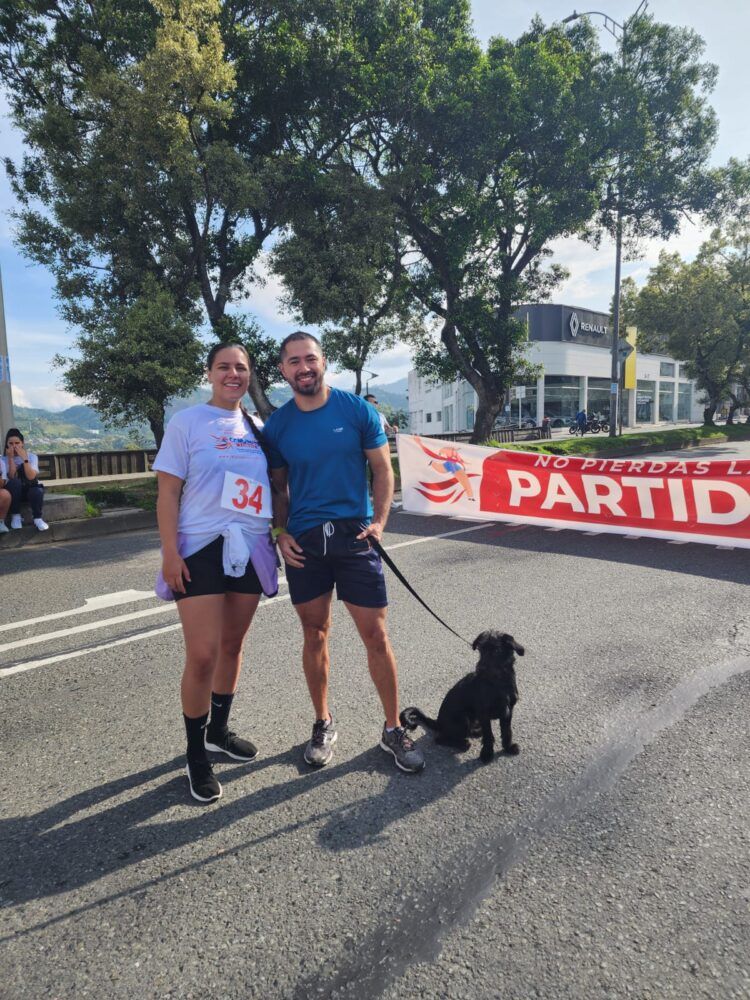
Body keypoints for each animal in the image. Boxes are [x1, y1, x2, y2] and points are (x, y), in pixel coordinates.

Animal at [402, 632, 524, 764]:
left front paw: (508, 747)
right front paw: (487, 754)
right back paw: (463, 743)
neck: (498, 683)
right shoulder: (484, 713)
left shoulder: (508, 711)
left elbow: (507, 732)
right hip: (463, 719)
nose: (480, 668)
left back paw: (475, 732)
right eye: (481, 650)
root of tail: (438, 722)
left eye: (496, 650)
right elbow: (488, 735)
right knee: (440, 739)